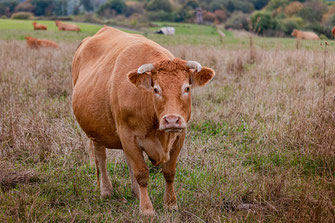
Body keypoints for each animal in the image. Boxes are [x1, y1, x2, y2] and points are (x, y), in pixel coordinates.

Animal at [72, 26, 217, 216]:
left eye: (186, 88)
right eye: (156, 89)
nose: (172, 120)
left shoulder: (180, 135)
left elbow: (169, 171)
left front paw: (171, 203)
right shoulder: (128, 135)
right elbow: (141, 173)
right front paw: (147, 208)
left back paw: (135, 192)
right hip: (96, 131)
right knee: (101, 158)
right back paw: (106, 190)